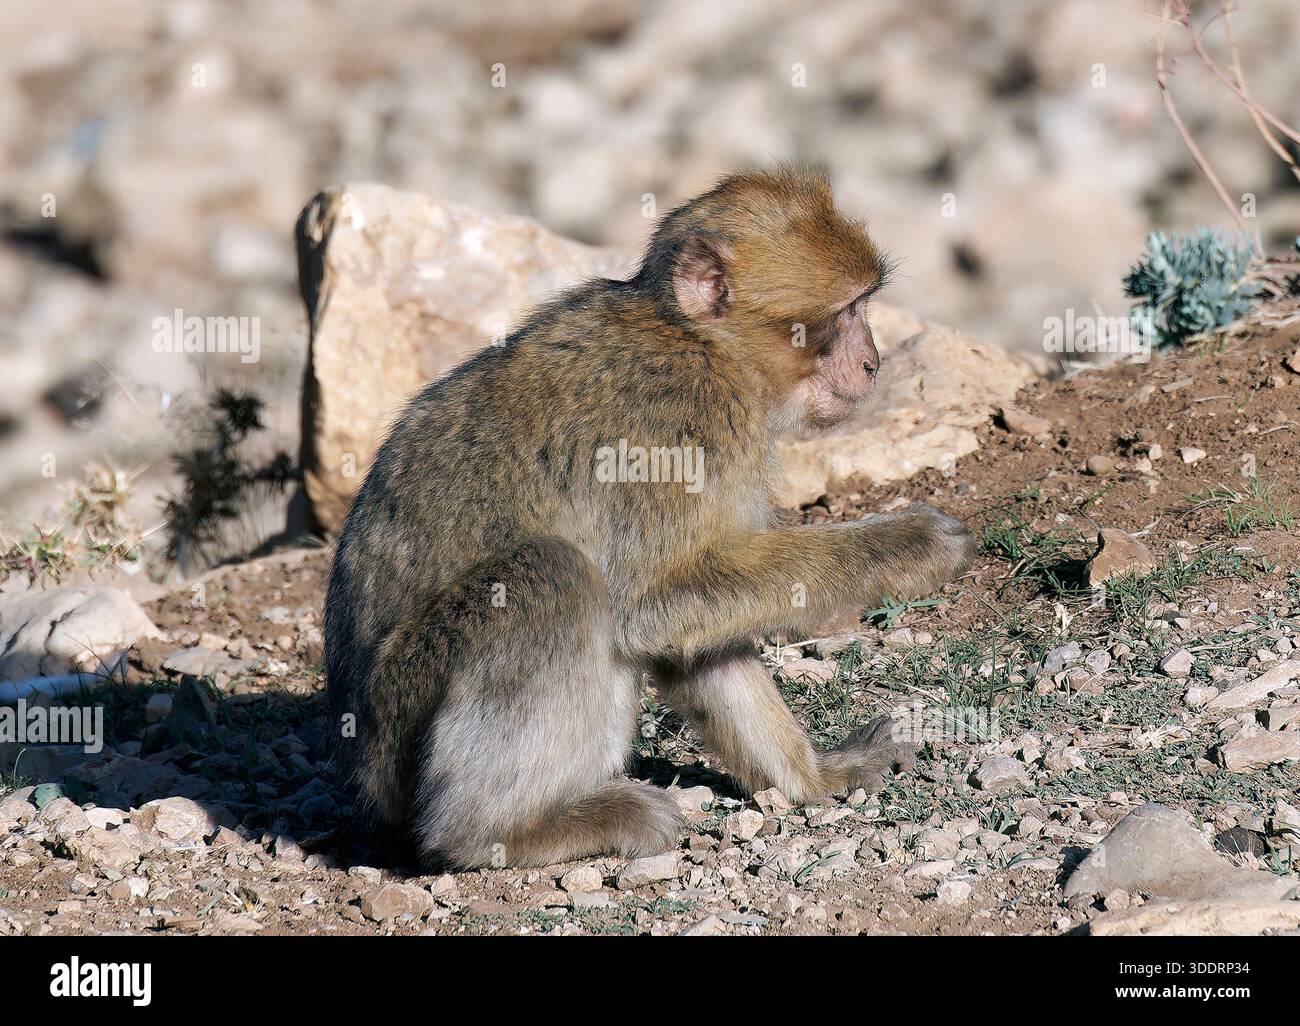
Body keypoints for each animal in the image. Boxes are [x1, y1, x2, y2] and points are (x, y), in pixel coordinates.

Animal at [324, 165, 975, 870]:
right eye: (844, 311)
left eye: (864, 302)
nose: (873, 362)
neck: (705, 345)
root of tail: (363, 777)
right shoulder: (676, 429)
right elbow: (651, 603)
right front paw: (911, 544)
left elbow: (692, 633)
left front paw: (815, 777)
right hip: (403, 708)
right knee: (552, 577)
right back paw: (501, 833)